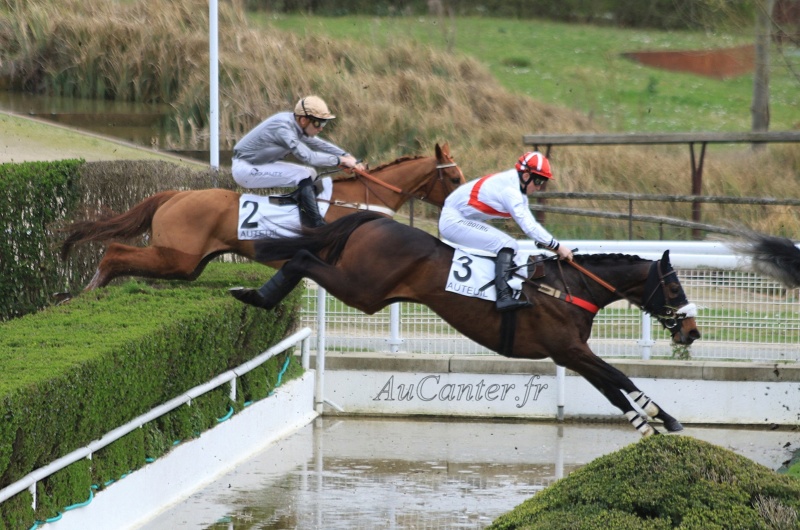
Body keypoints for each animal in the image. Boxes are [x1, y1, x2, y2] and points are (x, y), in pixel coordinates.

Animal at [61, 141, 462, 288]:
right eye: (455, 177)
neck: (362, 201)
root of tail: (175, 195)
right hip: (177, 255)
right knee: (115, 251)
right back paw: (90, 290)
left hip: (189, 264)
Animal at [236, 212, 700, 436]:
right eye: (675, 287)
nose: (692, 331)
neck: (571, 288)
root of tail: (376, 219)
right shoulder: (569, 348)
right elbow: (620, 377)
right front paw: (664, 418)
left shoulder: (571, 354)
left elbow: (613, 389)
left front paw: (650, 423)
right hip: (362, 290)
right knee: (301, 257)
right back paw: (256, 295)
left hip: (366, 291)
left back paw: (254, 294)